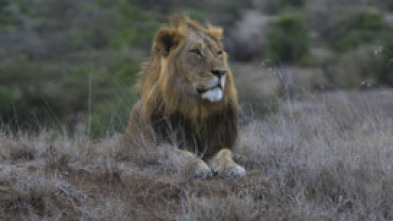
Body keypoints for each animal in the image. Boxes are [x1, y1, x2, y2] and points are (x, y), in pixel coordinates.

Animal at [123, 14, 245, 179]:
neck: (197, 110)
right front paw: (198, 166)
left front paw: (232, 167)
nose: (221, 72)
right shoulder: (152, 147)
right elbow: (178, 153)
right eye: (196, 52)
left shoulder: (217, 142)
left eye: (219, 53)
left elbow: (225, 153)